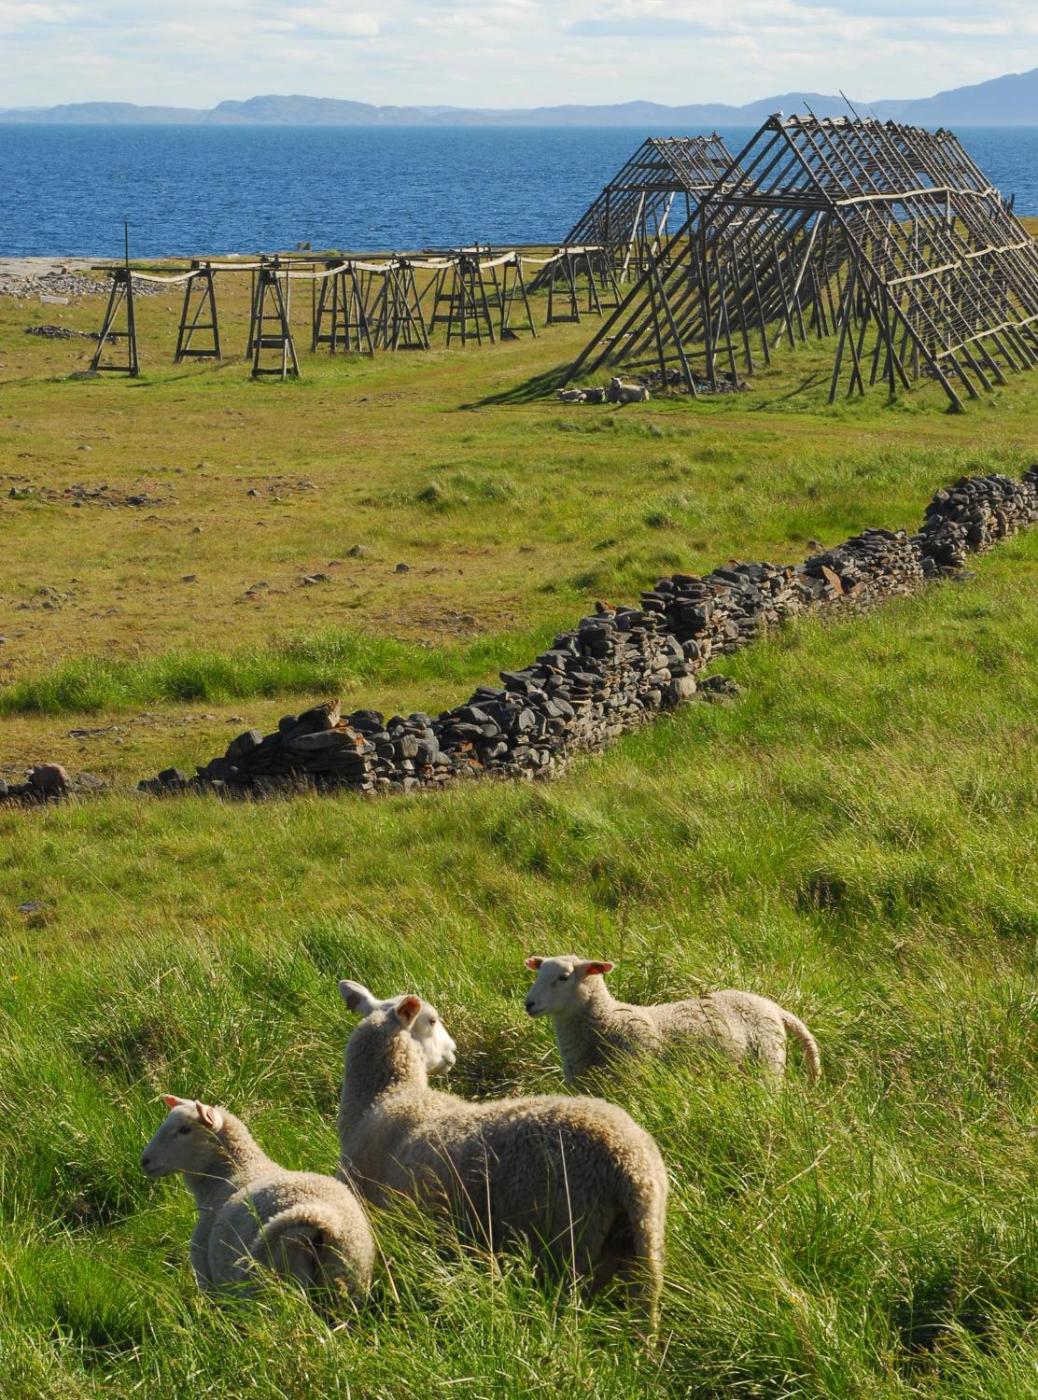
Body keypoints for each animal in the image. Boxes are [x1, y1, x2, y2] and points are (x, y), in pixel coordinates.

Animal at [141, 1095, 374, 1306]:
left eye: (184, 1130)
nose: (144, 1161)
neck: (234, 1172)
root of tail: (320, 1217)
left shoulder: (208, 1280)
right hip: (345, 1280)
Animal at [337, 996, 667, 1331]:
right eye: (432, 1020)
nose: (453, 1051)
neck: (386, 1098)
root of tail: (627, 1162)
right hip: (642, 1243)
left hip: (567, 1240)